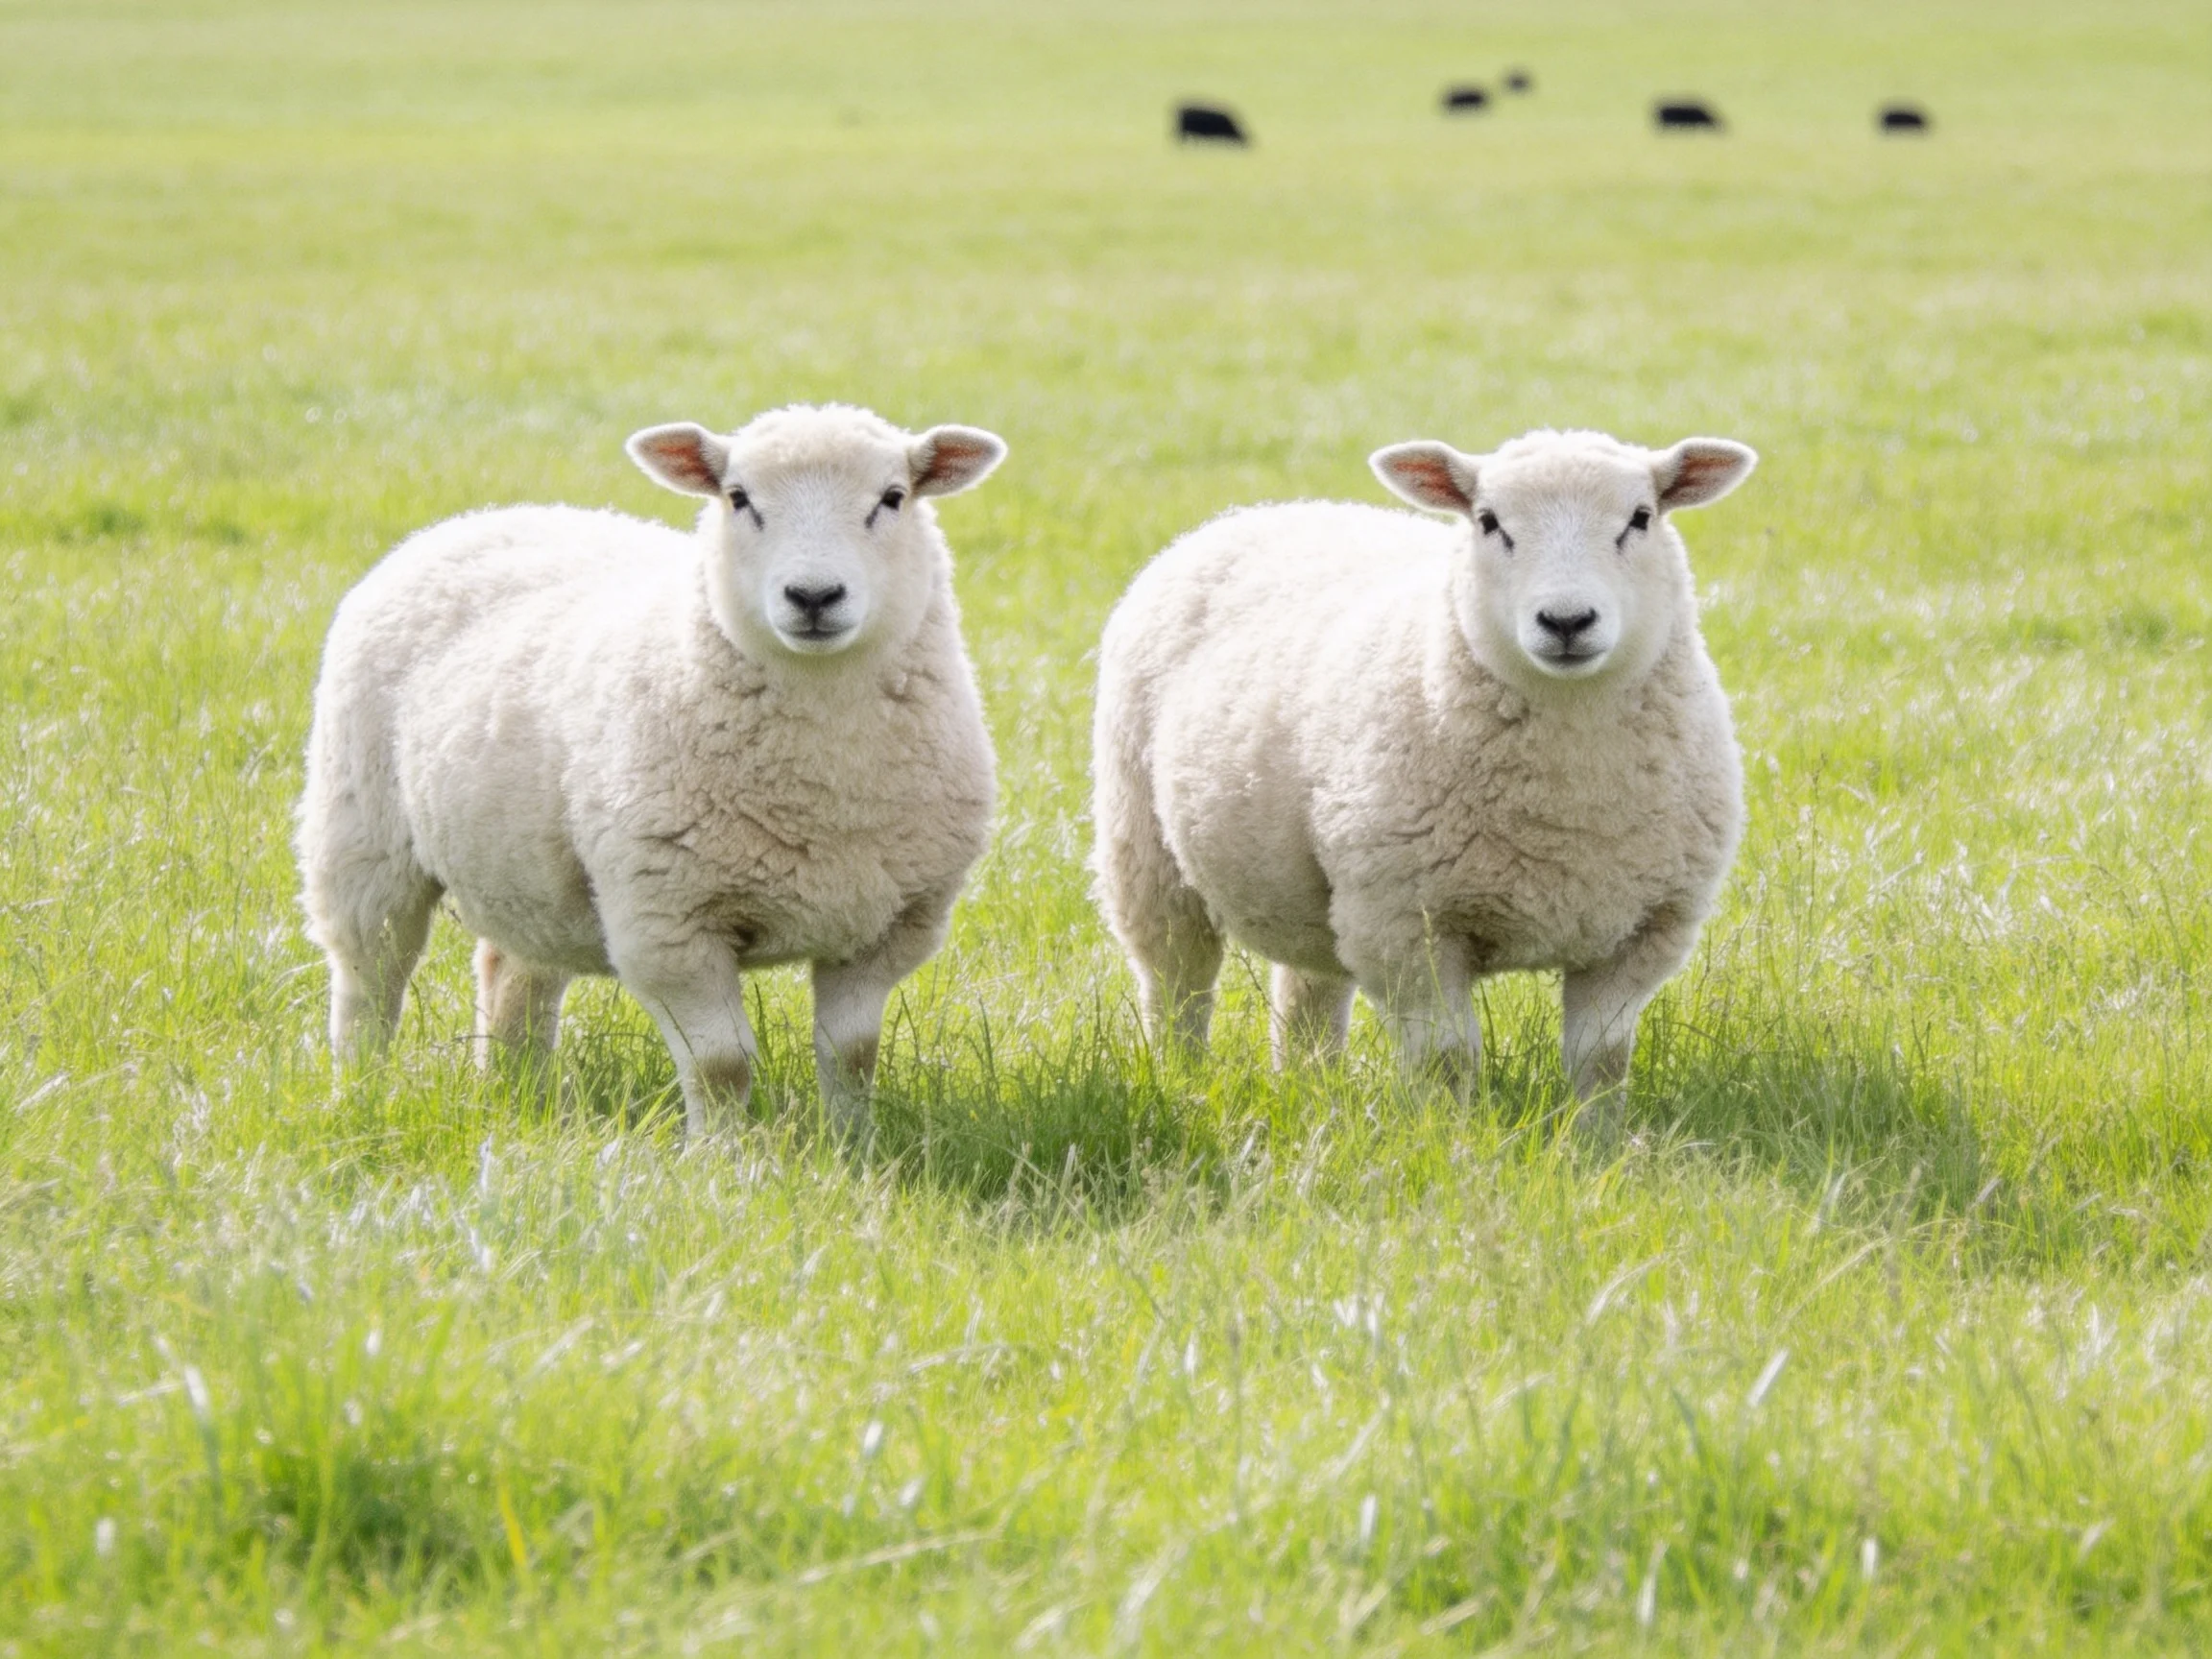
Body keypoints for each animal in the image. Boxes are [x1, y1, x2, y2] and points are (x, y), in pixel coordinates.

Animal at [296, 403, 1006, 1139]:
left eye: (892, 498)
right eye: (738, 498)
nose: (813, 595)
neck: (823, 779)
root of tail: (484, 516)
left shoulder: (885, 927)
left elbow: (853, 1055)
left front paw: (851, 1146)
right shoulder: (667, 924)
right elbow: (720, 1065)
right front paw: (722, 1154)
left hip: (529, 872)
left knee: (513, 972)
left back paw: (519, 1094)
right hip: (361, 835)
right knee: (368, 981)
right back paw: (360, 1095)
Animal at [1091, 428, 1755, 1136]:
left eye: (1641, 518)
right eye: (1489, 522)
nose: (1567, 621)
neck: (1568, 800)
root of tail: (1262, 511)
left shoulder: (1644, 932)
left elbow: (1602, 1059)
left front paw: (1597, 1143)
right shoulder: (1406, 924)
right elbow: (1446, 1059)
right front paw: (1449, 1141)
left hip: (1319, 890)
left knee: (1308, 996)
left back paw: (1310, 1089)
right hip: (1147, 854)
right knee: (1176, 986)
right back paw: (1182, 1083)